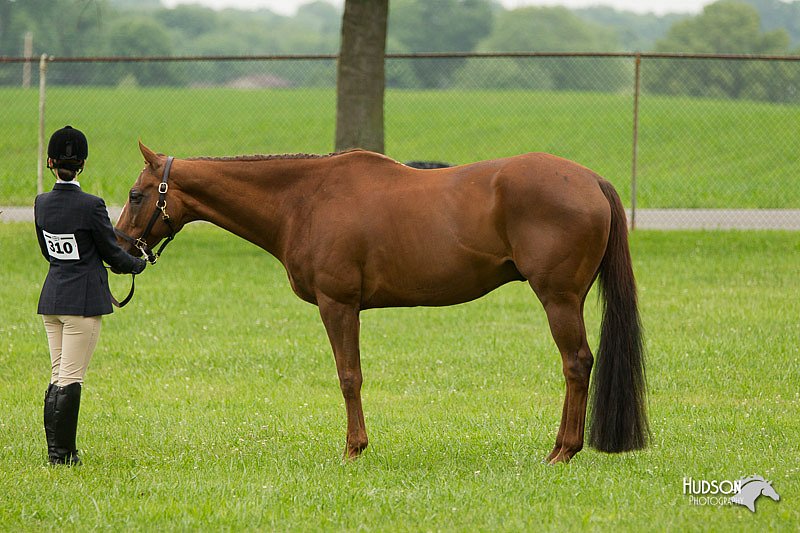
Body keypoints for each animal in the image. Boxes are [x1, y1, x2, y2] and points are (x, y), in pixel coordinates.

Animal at [115, 141, 648, 462]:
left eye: (136, 194)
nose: (120, 247)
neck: (304, 199)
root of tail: (591, 180)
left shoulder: (338, 304)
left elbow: (349, 376)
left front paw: (354, 449)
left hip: (559, 299)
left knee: (576, 364)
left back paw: (563, 451)